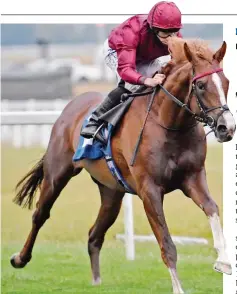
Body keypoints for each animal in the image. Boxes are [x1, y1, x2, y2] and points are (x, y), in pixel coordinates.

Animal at [10, 37, 235, 294]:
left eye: (226, 82)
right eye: (201, 86)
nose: (227, 128)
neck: (169, 124)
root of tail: (73, 105)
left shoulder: (193, 178)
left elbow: (212, 208)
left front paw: (223, 261)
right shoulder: (149, 190)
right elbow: (167, 244)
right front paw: (178, 288)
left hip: (111, 192)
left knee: (94, 234)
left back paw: (97, 281)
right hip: (57, 173)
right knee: (40, 214)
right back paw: (20, 258)